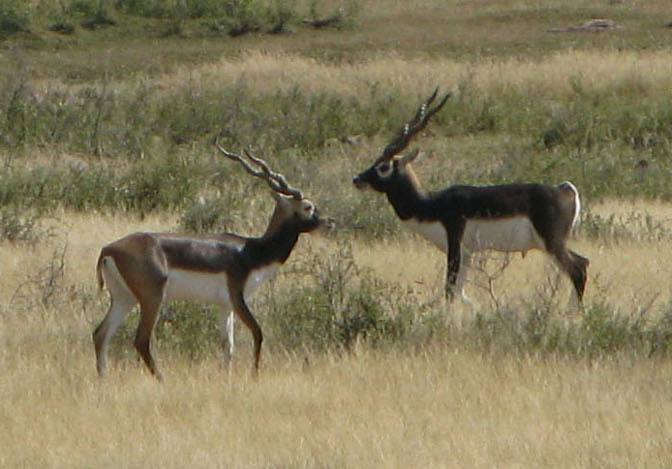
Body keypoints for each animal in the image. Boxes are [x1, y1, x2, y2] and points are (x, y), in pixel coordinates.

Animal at [93, 141, 333, 380]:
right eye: (308, 206)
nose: (329, 222)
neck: (252, 251)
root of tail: (109, 249)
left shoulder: (224, 305)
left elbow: (228, 346)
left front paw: (227, 378)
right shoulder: (237, 298)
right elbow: (258, 332)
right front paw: (254, 375)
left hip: (124, 298)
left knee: (100, 334)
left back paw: (104, 378)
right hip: (152, 298)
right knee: (141, 340)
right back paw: (162, 379)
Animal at [352, 89, 589, 307]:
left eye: (383, 167)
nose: (357, 179)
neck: (431, 205)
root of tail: (565, 190)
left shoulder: (455, 246)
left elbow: (449, 289)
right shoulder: (468, 253)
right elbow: (461, 293)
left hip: (551, 242)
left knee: (577, 269)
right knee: (583, 263)